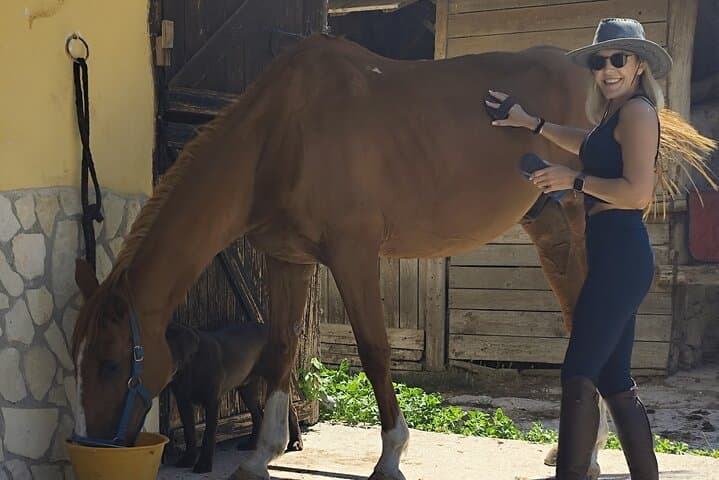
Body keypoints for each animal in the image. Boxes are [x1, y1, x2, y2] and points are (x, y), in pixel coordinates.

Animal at [70, 33, 592, 480]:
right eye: (80, 359)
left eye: (111, 363)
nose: (93, 444)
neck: (283, 135)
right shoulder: (288, 260)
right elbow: (281, 348)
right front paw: (261, 456)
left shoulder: (353, 255)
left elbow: (374, 351)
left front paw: (391, 456)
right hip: (546, 226)